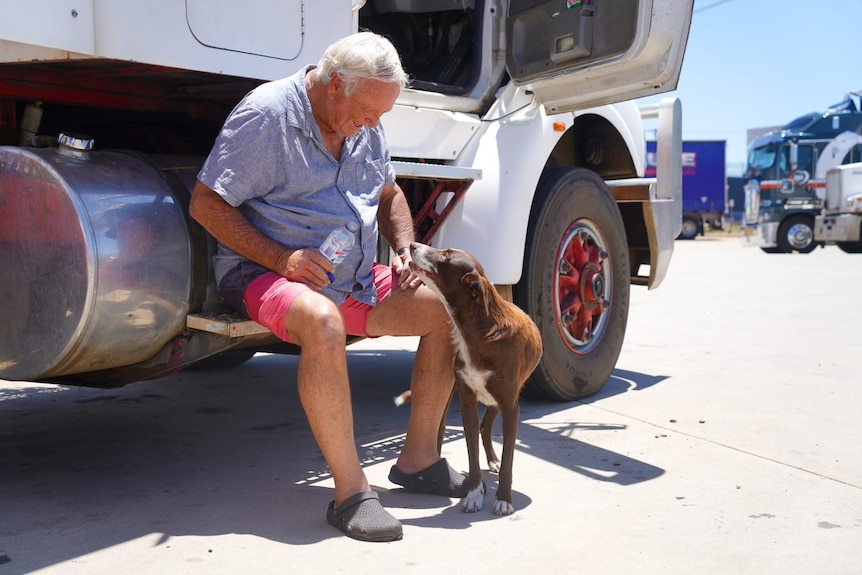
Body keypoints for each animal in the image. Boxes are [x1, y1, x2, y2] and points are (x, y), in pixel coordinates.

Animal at [408, 241, 544, 516]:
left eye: (444, 256)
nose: (412, 244)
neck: (477, 331)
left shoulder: (510, 406)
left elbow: (508, 459)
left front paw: (504, 499)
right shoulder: (467, 403)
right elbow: (472, 456)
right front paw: (473, 494)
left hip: (504, 397)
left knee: (487, 426)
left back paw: (492, 460)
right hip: (453, 392)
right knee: (442, 430)